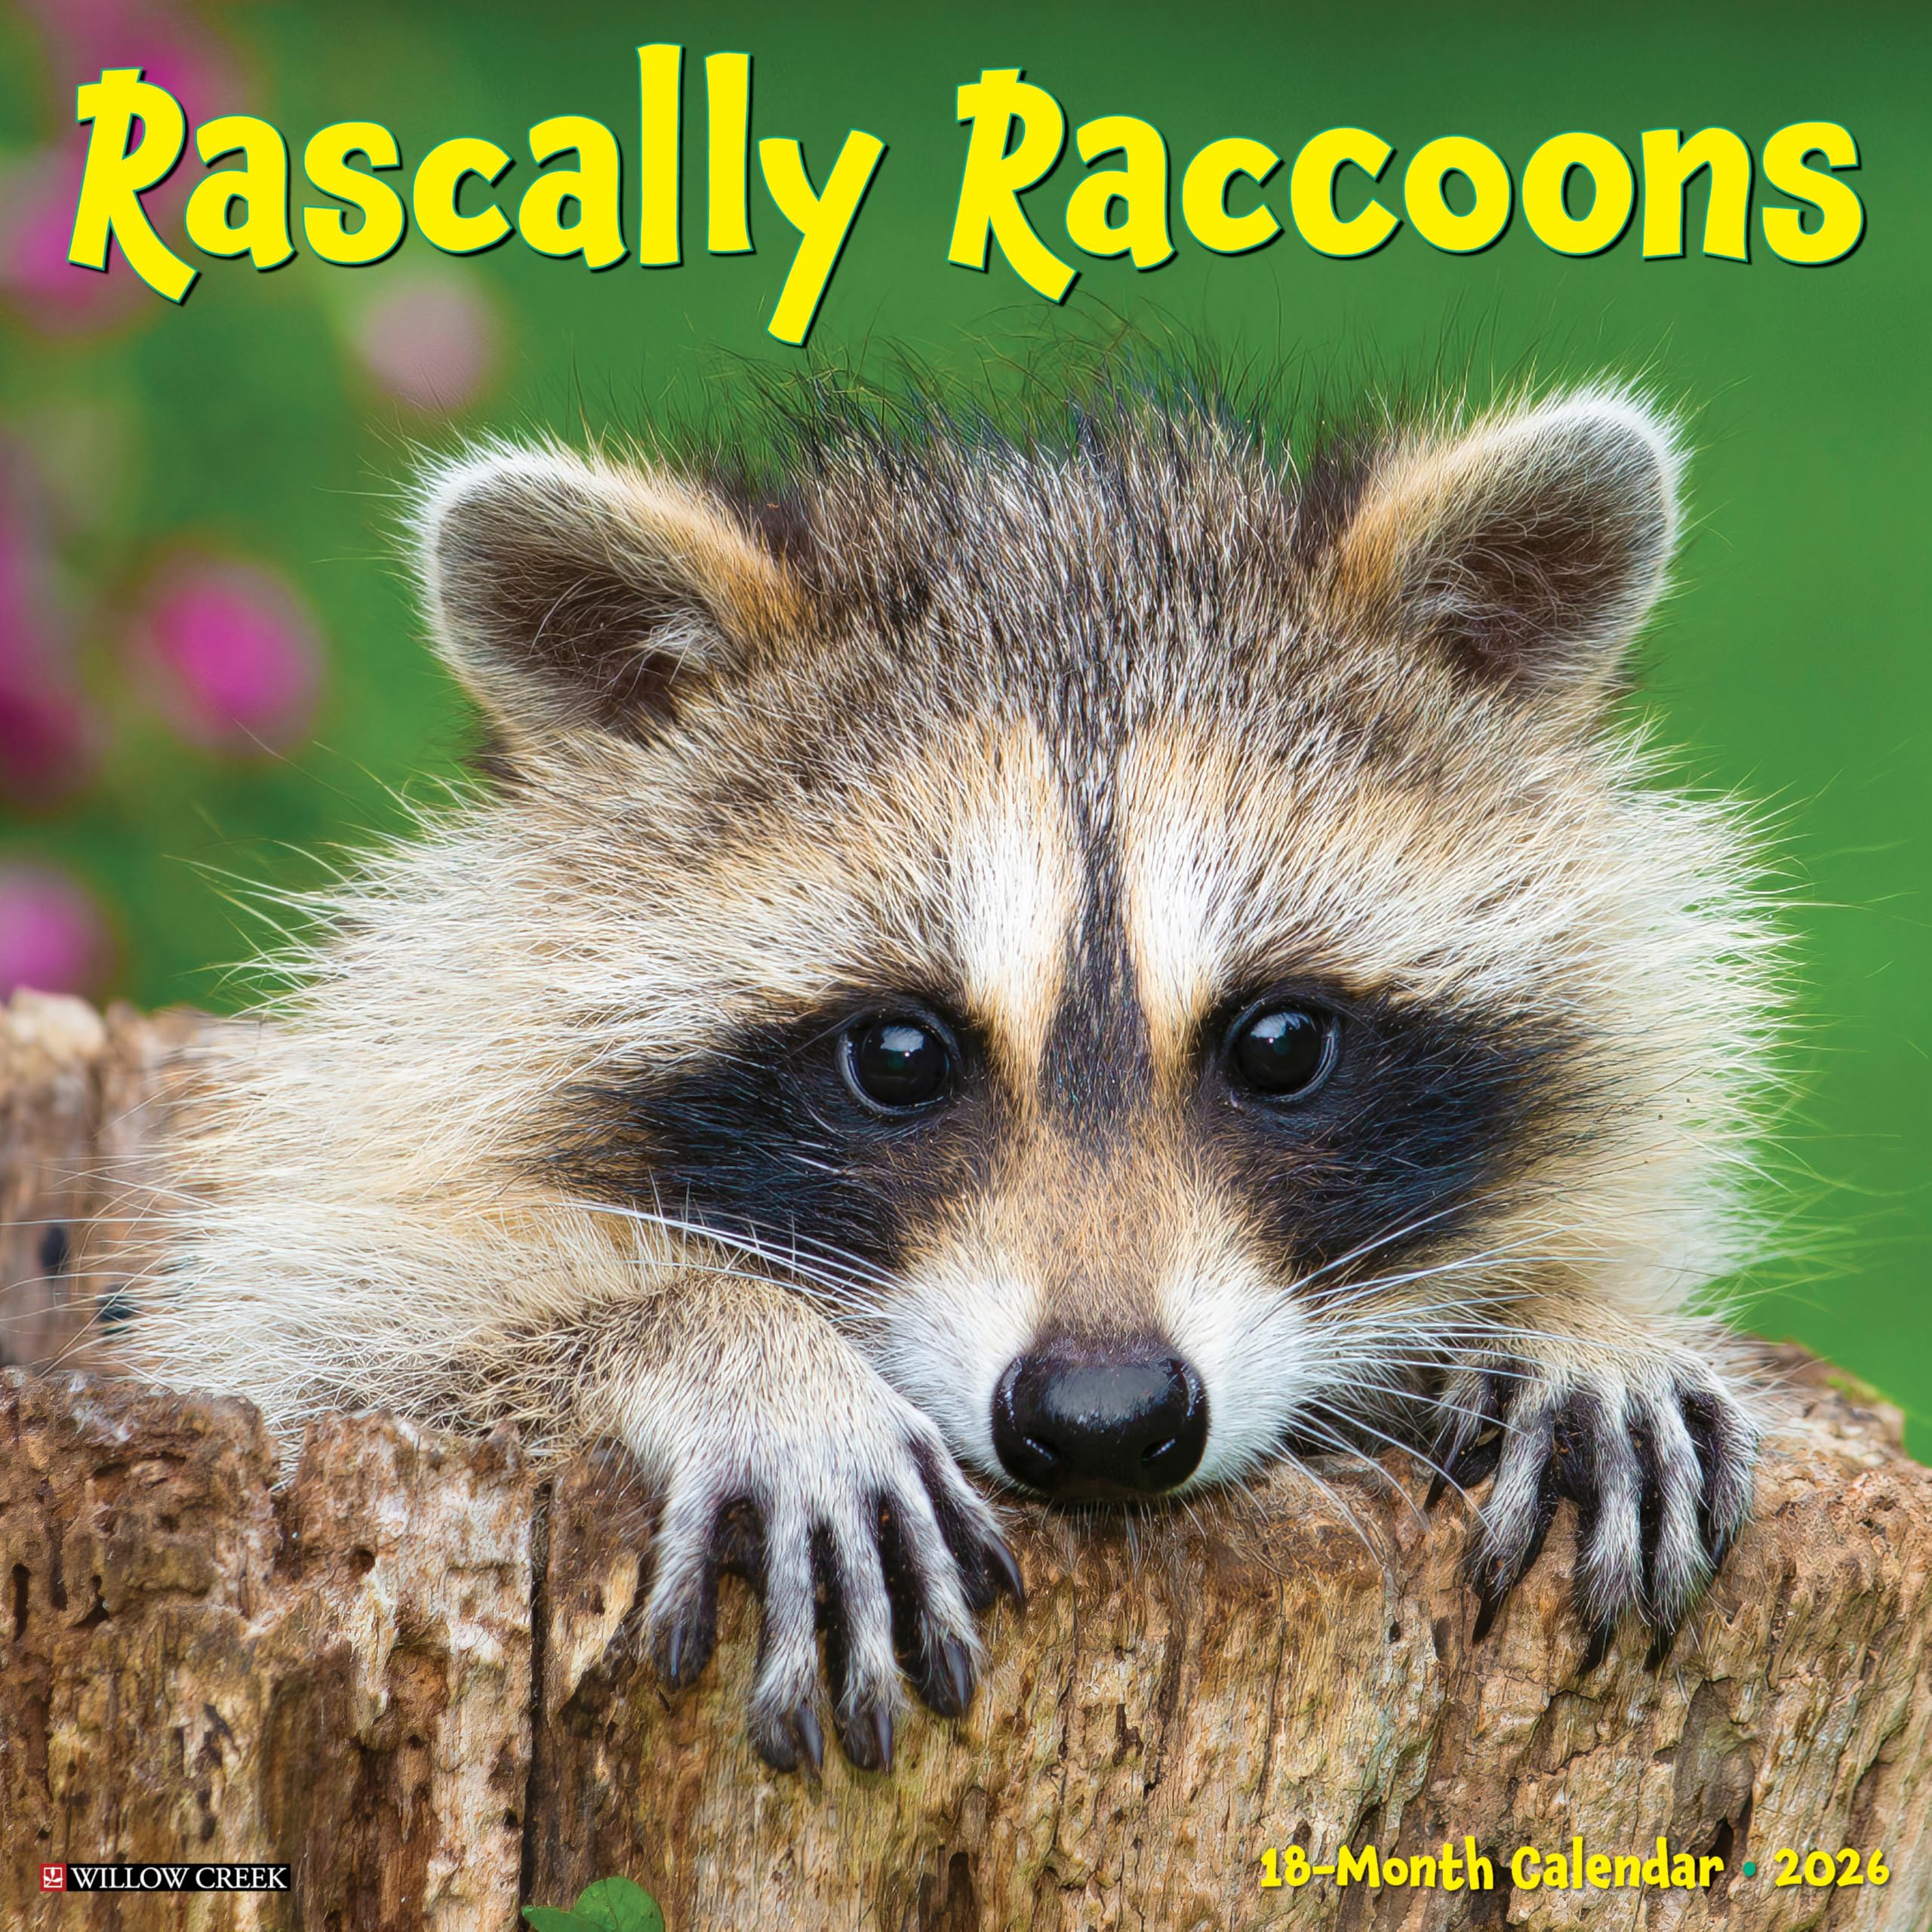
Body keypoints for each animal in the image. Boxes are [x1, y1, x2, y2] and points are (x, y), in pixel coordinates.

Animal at [127, 367, 1779, 1775]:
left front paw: (1578, 1315)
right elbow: (326, 1335)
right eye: (899, 1055)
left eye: (1281, 1043)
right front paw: (721, 1338)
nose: (1105, 1420)